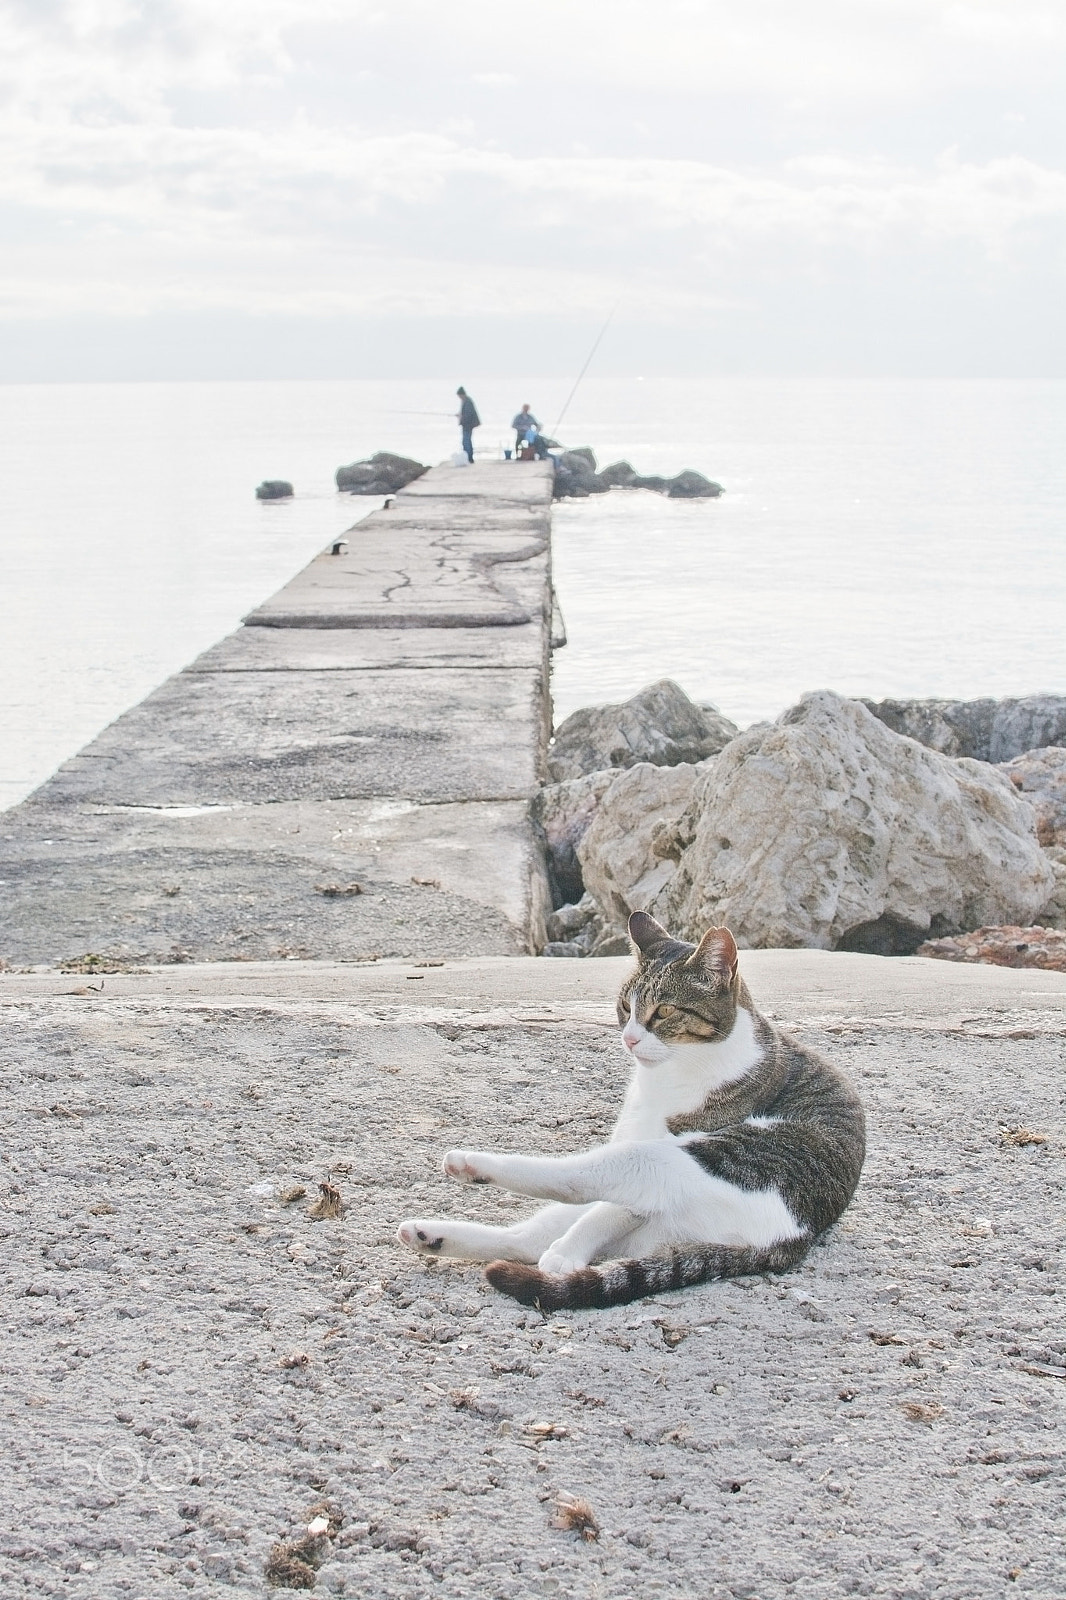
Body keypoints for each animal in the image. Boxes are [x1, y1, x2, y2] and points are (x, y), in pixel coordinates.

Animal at [393, 915, 857, 1312]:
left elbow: (609, 1210)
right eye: (624, 1007)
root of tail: (788, 1240)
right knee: (526, 1237)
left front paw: (567, 1254)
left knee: (578, 1181)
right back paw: (431, 1236)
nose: (630, 1039)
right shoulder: (631, 1132)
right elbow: (606, 1212)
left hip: (688, 1160)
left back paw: (473, 1167)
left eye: (664, 1012)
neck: (671, 1072)